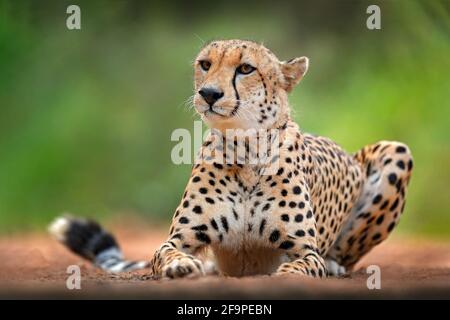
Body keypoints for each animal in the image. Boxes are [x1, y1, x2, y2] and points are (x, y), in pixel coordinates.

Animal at [48, 40, 412, 278]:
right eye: (205, 64)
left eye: (246, 69)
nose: (209, 93)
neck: (245, 148)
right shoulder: (179, 238)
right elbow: (165, 252)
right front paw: (180, 265)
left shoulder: (304, 249)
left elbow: (304, 265)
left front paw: (290, 274)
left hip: (398, 151)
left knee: (343, 255)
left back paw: (337, 266)